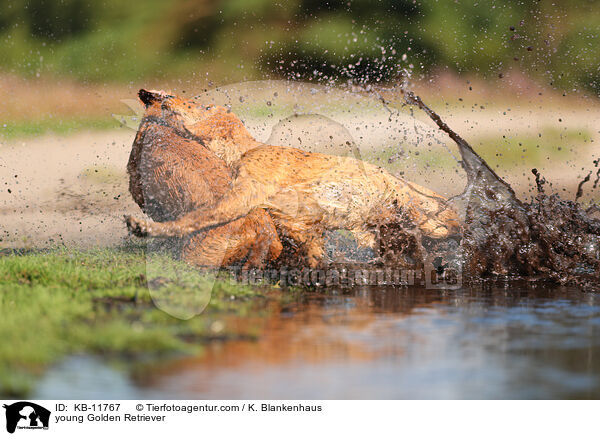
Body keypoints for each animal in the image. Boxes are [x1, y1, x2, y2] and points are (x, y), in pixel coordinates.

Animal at [124, 90, 458, 268]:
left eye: (200, 105)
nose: (158, 95)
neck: (243, 149)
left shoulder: (243, 196)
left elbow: (196, 218)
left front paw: (145, 227)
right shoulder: (298, 226)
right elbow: (310, 247)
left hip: (417, 211)